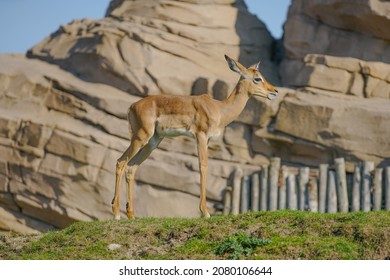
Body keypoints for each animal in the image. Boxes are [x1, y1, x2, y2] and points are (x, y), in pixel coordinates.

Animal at [111, 54, 278, 220]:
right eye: (257, 78)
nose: (274, 91)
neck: (219, 109)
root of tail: (132, 106)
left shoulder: (207, 140)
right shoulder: (201, 136)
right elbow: (203, 165)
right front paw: (205, 212)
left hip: (152, 142)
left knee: (131, 168)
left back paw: (131, 215)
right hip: (141, 137)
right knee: (120, 162)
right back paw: (116, 213)